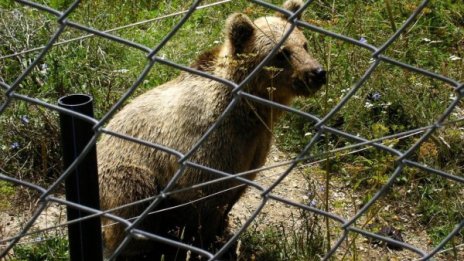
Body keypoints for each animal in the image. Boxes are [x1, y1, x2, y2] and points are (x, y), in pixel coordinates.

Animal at [98, 0, 326, 258]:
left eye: (304, 44)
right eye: (282, 53)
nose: (317, 73)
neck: (247, 112)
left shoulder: (253, 149)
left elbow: (231, 197)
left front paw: (222, 237)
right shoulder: (206, 146)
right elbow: (202, 205)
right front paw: (200, 245)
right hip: (124, 173)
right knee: (132, 206)